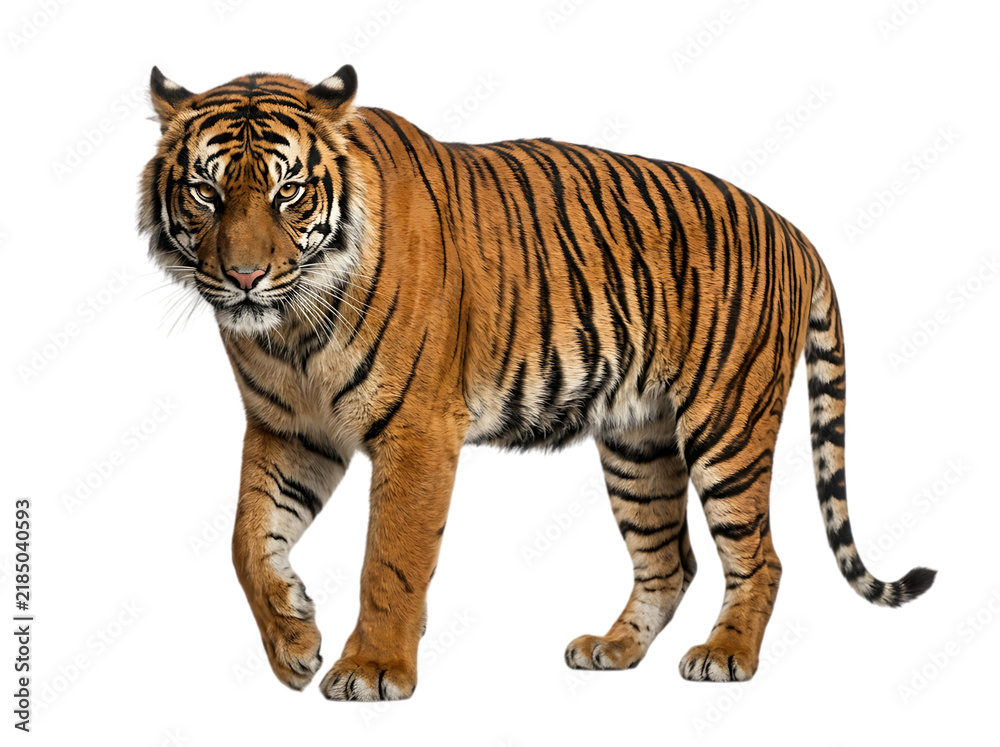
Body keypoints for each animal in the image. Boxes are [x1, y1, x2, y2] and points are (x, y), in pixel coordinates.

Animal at [138, 64, 936, 701]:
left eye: (290, 192)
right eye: (206, 192)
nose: (244, 277)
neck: (292, 332)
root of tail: (790, 226)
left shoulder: (417, 430)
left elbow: (390, 557)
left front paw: (372, 669)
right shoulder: (290, 429)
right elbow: (247, 541)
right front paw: (294, 643)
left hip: (726, 425)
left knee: (760, 556)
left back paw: (725, 654)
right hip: (638, 442)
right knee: (668, 560)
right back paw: (613, 649)